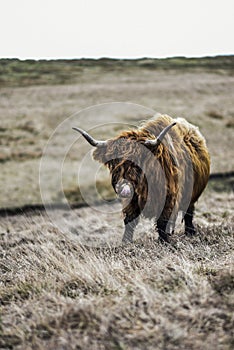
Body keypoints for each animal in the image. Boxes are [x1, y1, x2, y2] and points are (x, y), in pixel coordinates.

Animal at [73, 115, 210, 243]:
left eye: (137, 162)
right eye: (114, 163)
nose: (123, 188)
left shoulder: (169, 198)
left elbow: (162, 221)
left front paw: (164, 241)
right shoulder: (132, 200)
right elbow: (130, 220)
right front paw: (126, 242)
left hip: (191, 193)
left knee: (188, 212)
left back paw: (190, 232)